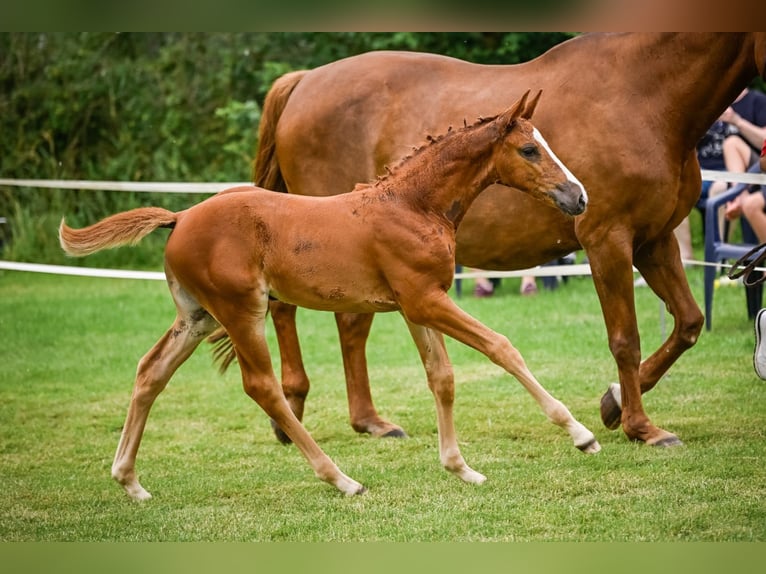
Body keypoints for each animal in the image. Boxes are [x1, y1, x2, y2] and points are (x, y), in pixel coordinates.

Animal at [61, 93, 600, 500]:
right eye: (529, 150)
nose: (578, 197)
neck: (412, 205)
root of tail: (180, 218)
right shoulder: (426, 300)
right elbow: (501, 347)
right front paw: (581, 433)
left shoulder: (416, 305)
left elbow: (441, 377)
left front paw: (460, 467)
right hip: (241, 311)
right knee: (263, 387)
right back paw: (342, 479)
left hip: (197, 318)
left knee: (151, 372)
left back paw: (130, 482)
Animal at [256, 33, 766, 450]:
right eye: (529, 150)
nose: (577, 195)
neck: (645, 95)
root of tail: (303, 82)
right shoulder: (609, 240)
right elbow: (625, 339)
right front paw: (642, 427)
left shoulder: (654, 241)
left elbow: (688, 323)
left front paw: (614, 402)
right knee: (312, 316)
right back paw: (300, 414)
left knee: (331, 320)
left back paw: (354, 420)